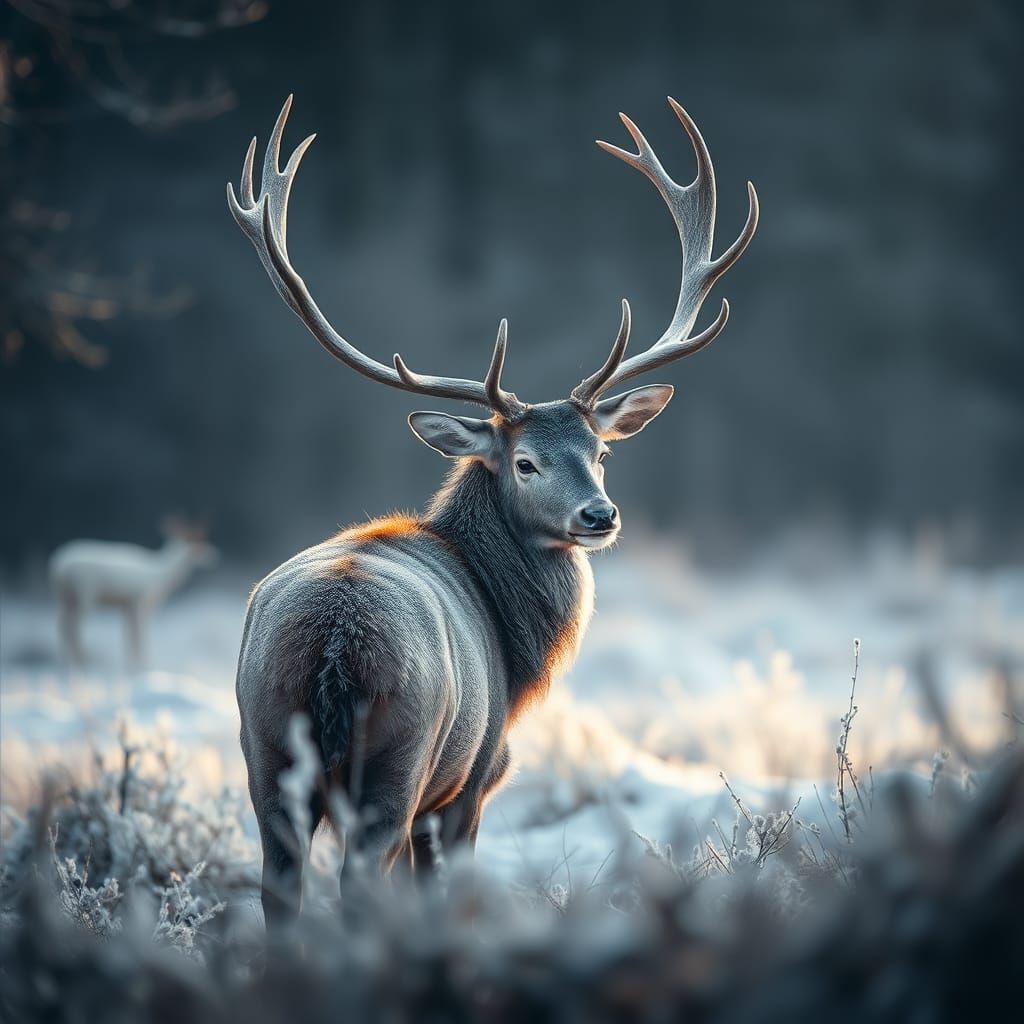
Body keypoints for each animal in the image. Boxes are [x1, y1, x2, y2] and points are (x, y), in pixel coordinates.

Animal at [50, 522, 218, 669]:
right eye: (198, 544)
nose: (214, 556)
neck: (159, 576)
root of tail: (59, 568)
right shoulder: (139, 602)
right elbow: (139, 636)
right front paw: (145, 666)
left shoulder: (126, 606)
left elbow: (128, 637)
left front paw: (131, 666)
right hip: (85, 593)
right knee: (73, 626)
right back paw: (81, 659)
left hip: (65, 597)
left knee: (62, 624)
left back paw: (66, 660)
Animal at [228, 95, 758, 928]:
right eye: (525, 461)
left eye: (602, 452)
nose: (599, 516)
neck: (518, 653)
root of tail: (334, 641)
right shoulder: (475, 778)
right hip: (403, 753)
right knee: (361, 883)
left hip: (264, 744)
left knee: (280, 887)